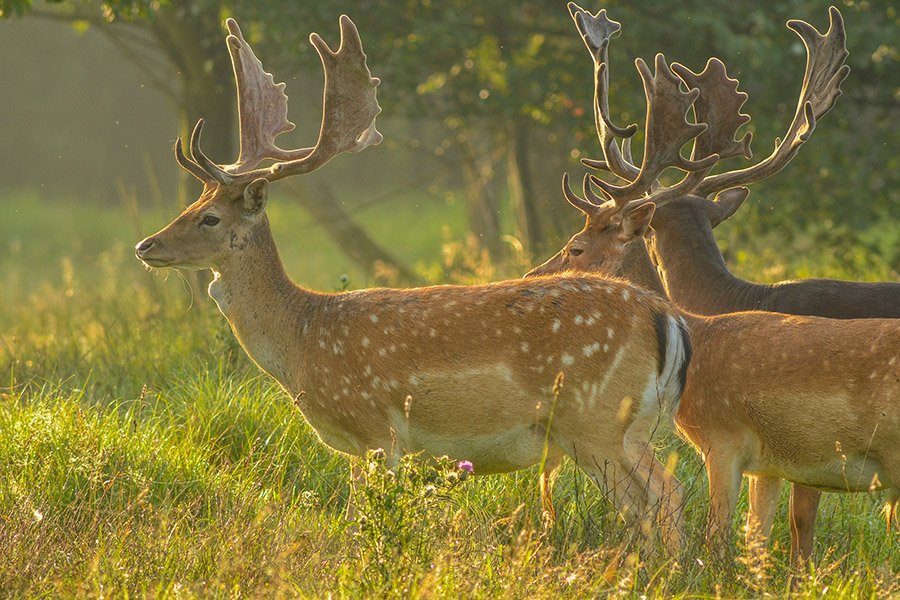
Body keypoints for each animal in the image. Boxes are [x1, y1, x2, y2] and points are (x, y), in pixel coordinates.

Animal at [134, 14, 692, 552]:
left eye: (209, 218)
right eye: (192, 203)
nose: (146, 246)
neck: (301, 339)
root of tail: (665, 316)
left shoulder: (376, 430)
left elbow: (362, 523)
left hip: (595, 420)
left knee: (660, 494)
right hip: (628, 426)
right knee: (661, 497)